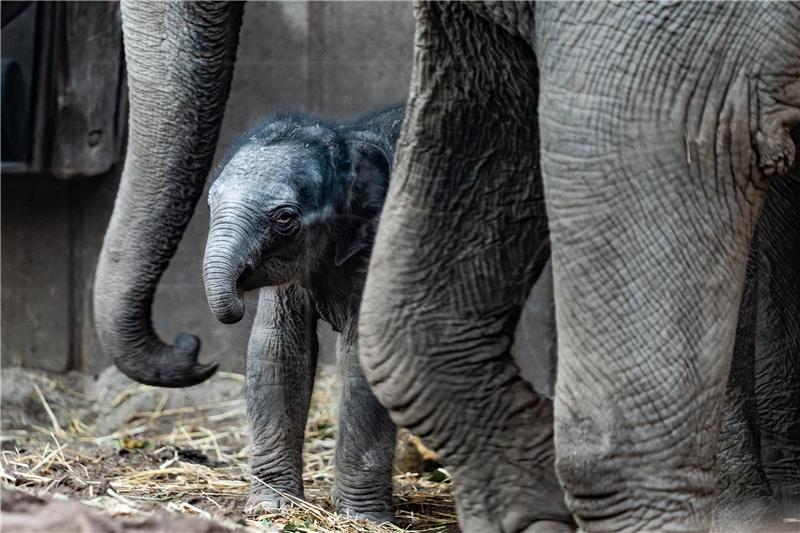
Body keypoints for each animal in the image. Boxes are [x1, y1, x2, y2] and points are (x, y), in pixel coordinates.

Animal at [203, 106, 404, 520]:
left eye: (284, 218)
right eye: (211, 203)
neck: (348, 142)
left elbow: (364, 357)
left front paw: (361, 518)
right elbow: (278, 349)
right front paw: (272, 506)